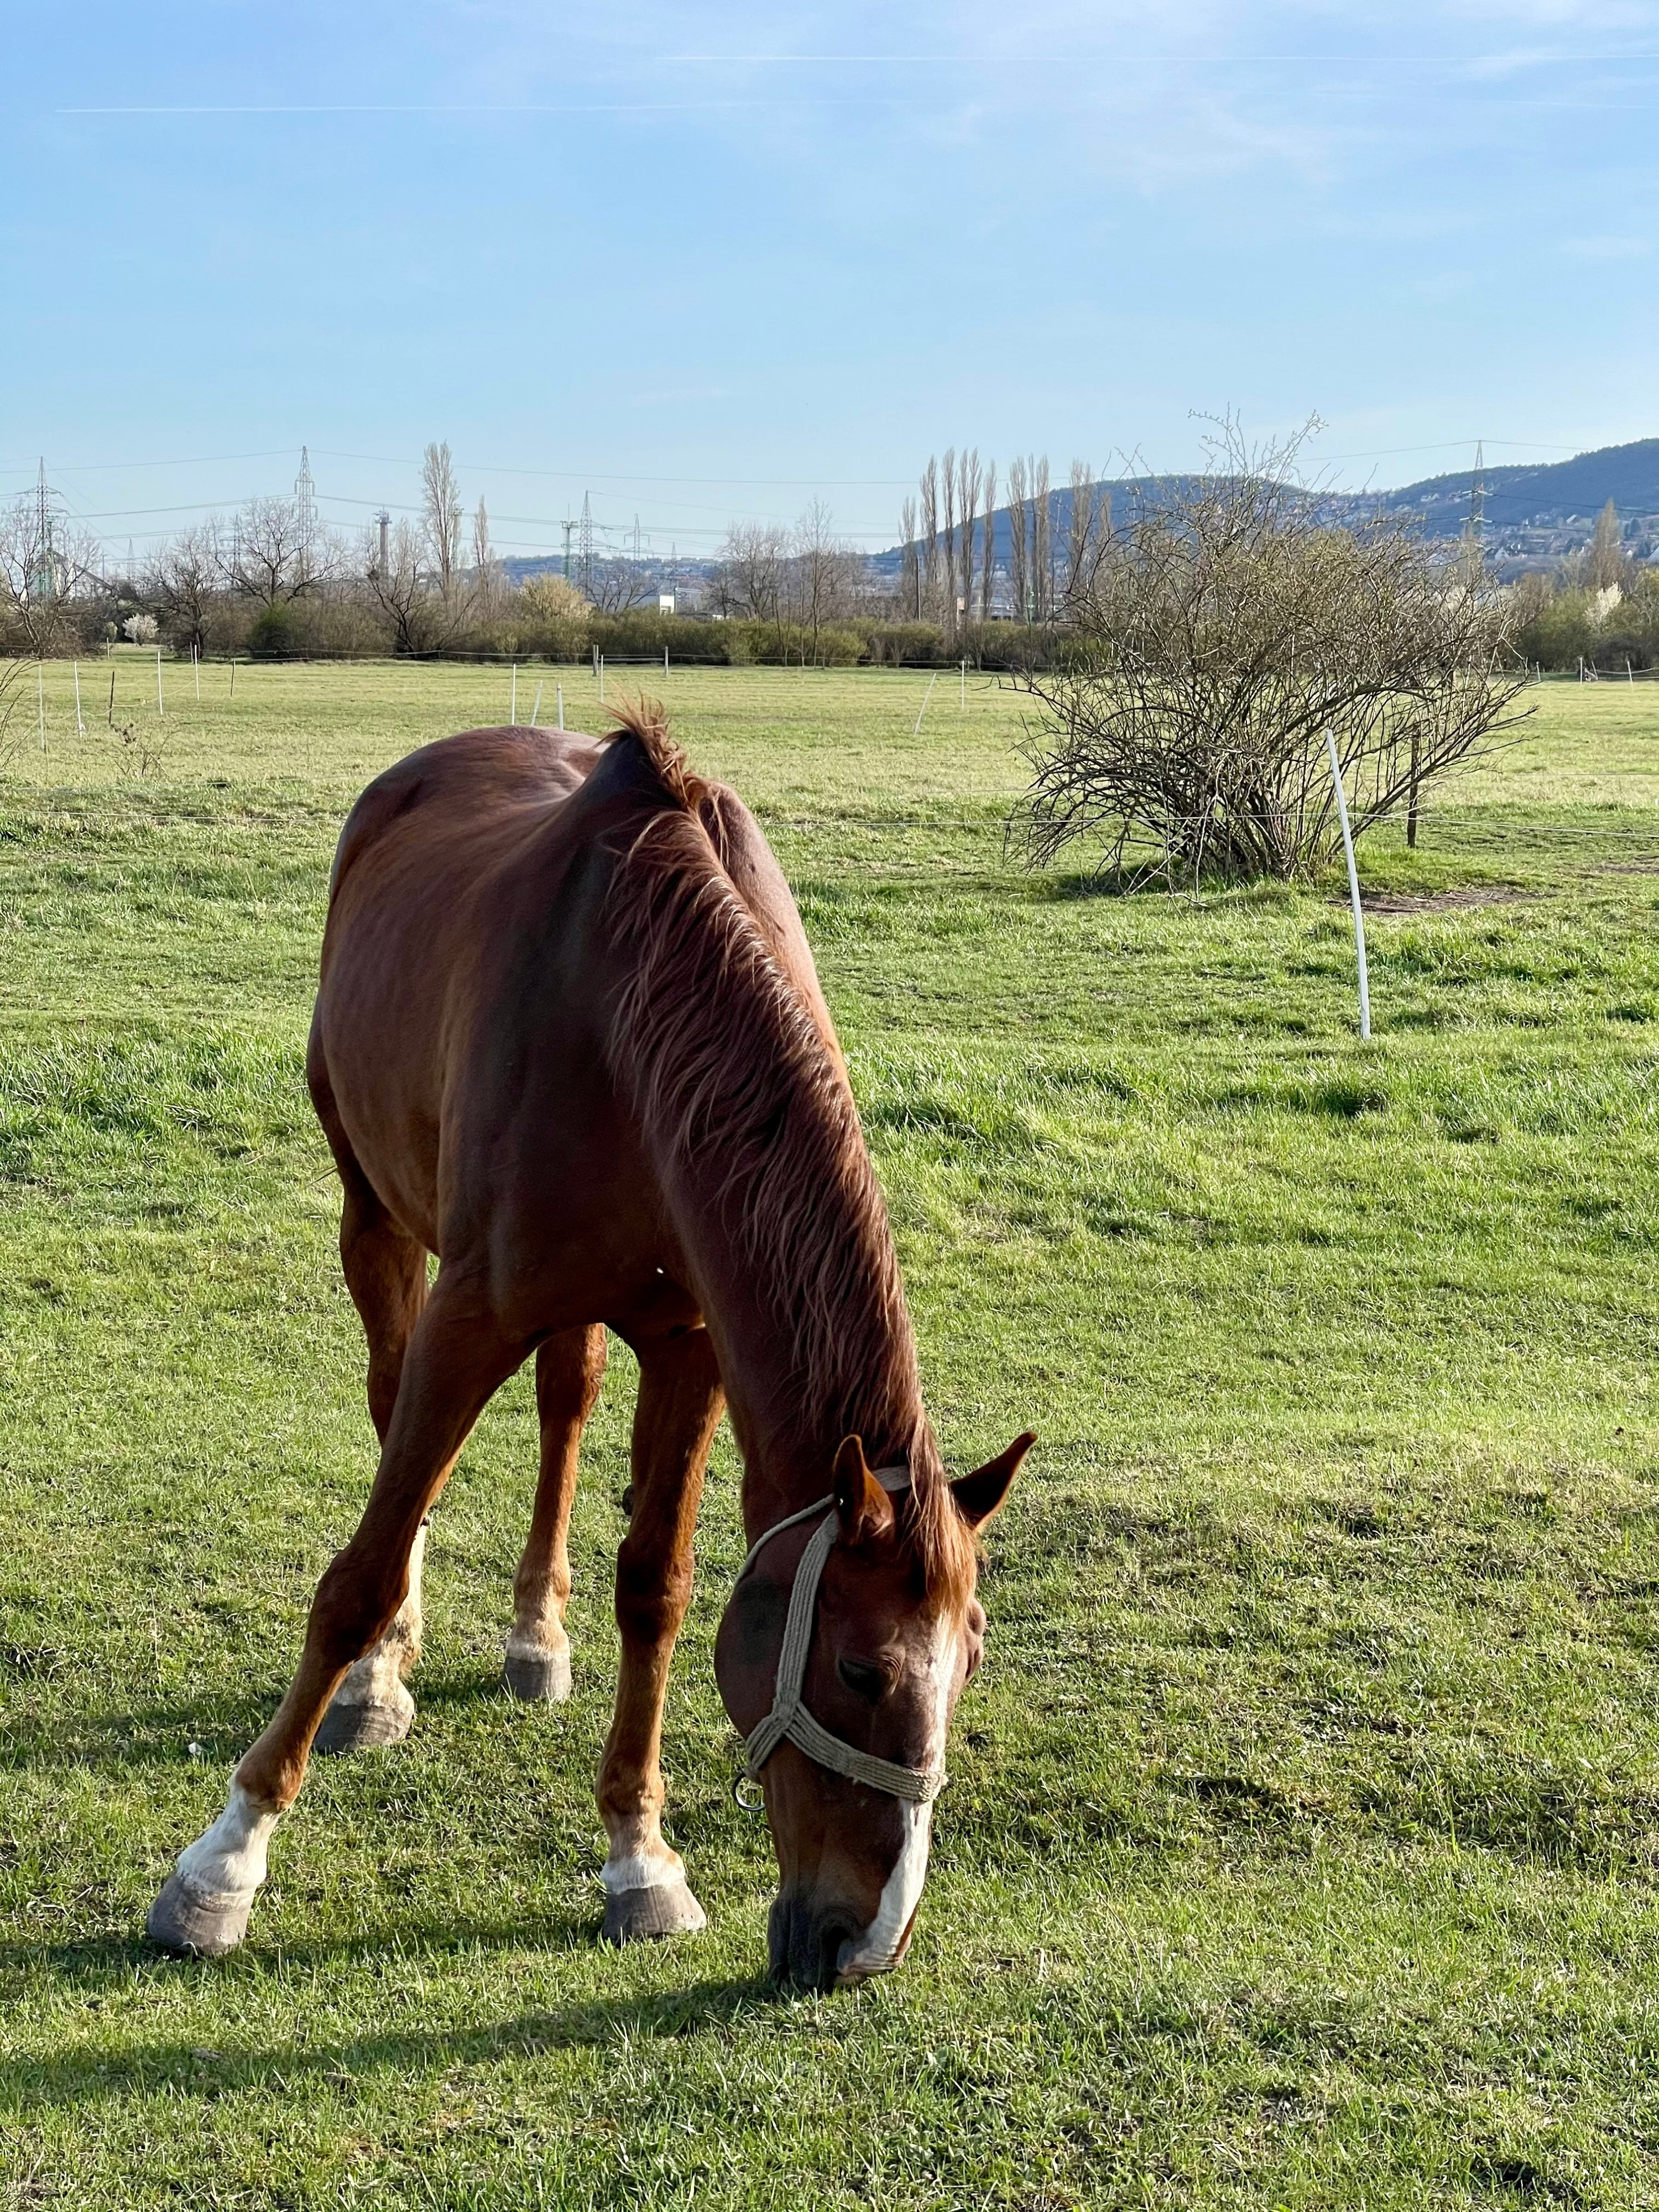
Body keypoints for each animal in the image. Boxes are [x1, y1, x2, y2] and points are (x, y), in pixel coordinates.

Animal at [146, 705, 1033, 1991]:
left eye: (967, 1666)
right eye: (860, 1671)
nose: (863, 1944)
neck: (635, 1008)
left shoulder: (690, 1345)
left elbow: (656, 1588)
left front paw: (641, 1856)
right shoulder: (474, 1312)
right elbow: (358, 1571)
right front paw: (224, 1862)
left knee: (565, 1406)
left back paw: (536, 1636)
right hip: (376, 1218)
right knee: (391, 1410)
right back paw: (381, 1679)